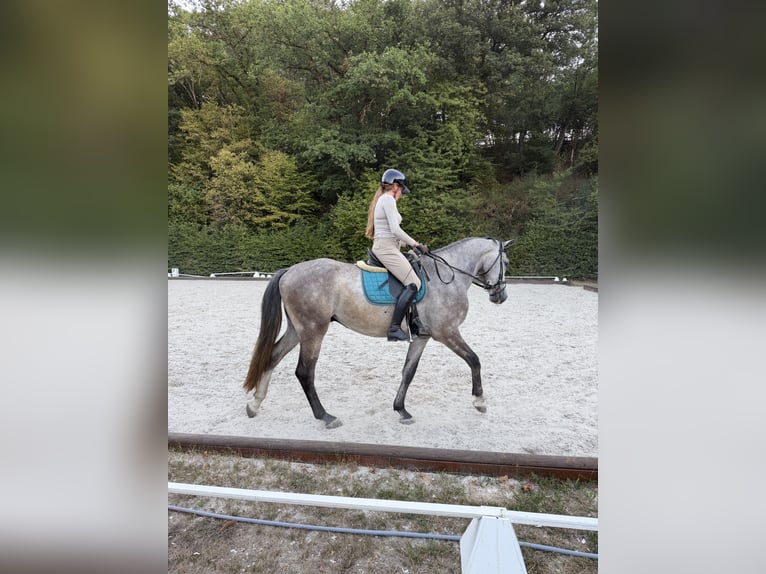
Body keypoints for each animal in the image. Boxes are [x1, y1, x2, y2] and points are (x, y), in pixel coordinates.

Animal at [243, 237, 513, 428]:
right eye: (506, 263)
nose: (501, 296)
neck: (447, 277)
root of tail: (289, 271)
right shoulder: (447, 333)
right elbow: (474, 360)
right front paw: (480, 401)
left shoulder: (422, 337)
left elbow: (408, 372)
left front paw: (401, 410)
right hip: (313, 331)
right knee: (304, 372)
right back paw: (326, 417)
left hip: (296, 330)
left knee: (272, 357)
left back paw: (255, 405)